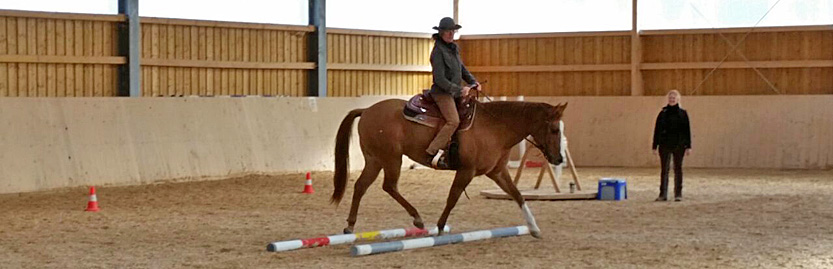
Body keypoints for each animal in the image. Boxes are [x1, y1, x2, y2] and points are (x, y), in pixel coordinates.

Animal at [332, 98, 564, 237]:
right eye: (554, 129)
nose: (559, 158)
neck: (494, 128)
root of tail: (367, 110)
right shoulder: (466, 171)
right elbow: (452, 198)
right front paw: (440, 228)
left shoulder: (497, 172)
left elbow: (518, 195)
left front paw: (534, 228)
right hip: (391, 159)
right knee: (389, 186)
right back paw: (417, 219)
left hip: (375, 160)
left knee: (361, 186)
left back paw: (350, 225)